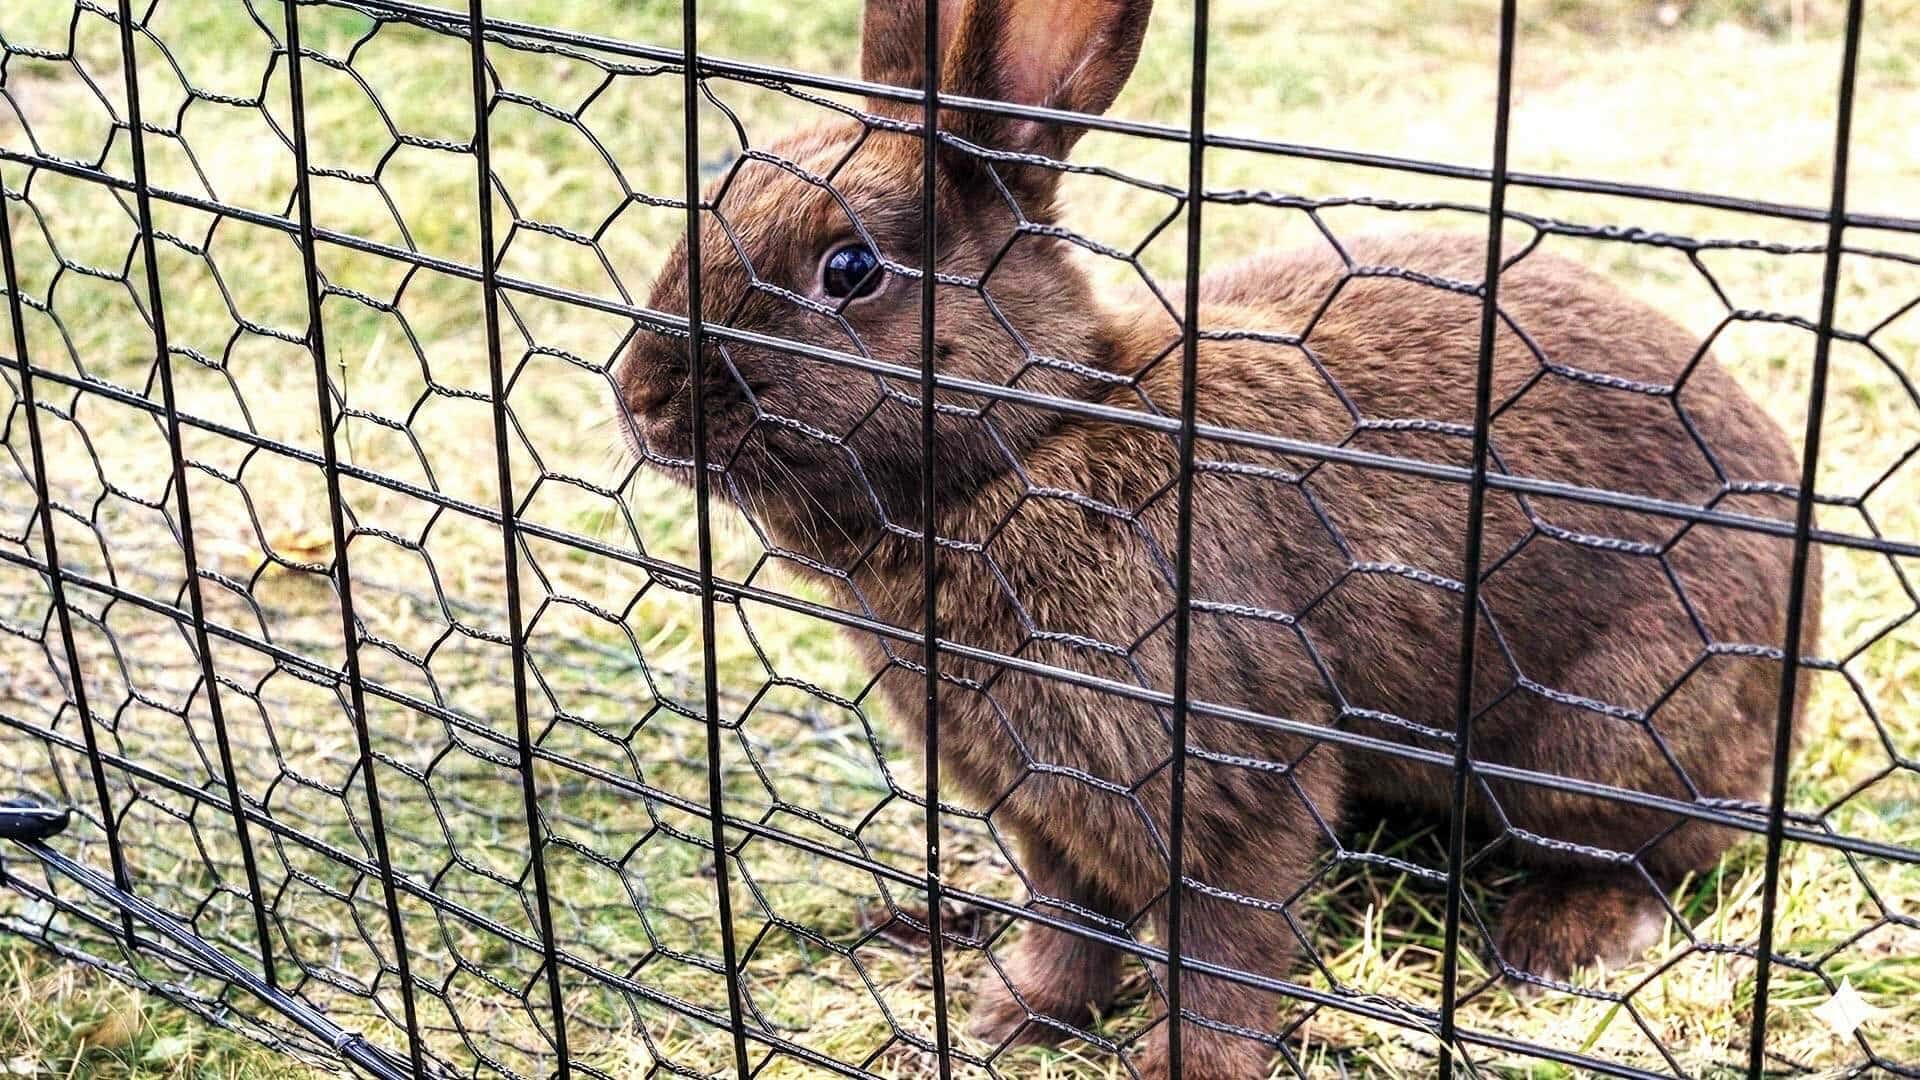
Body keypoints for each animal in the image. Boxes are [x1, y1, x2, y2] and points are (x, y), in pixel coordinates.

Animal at [613, 0, 1816, 1074]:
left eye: (851, 270)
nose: (641, 398)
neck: (1034, 440)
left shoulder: (1229, 781)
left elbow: (1219, 954)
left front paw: (1178, 1066)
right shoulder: (1045, 810)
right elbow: (1068, 922)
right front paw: (1018, 1019)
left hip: (1601, 733)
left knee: (1661, 849)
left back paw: (1558, 940)